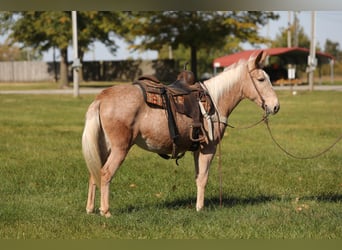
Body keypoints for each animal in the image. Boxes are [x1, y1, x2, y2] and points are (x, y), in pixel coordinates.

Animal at [83, 50, 280, 217]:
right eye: (261, 79)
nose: (276, 106)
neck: (214, 101)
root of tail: (101, 98)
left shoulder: (197, 149)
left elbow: (198, 177)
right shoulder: (208, 148)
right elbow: (203, 178)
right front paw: (200, 208)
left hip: (104, 146)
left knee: (94, 172)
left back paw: (90, 209)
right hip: (120, 148)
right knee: (106, 173)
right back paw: (106, 211)